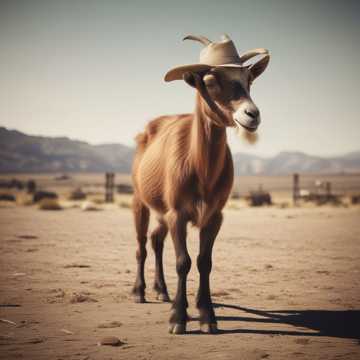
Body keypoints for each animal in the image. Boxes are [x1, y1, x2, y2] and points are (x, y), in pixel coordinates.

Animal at [131, 34, 268, 334]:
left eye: (249, 80)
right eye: (210, 81)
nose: (251, 114)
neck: (200, 168)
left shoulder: (214, 215)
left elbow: (205, 262)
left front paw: (206, 315)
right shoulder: (179, 213)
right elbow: (183, 262)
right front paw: (178, 319)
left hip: (163, 211)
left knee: (156, 240)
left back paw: (162, 291)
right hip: (139, 201)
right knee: (141, 244)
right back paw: (139, 292)